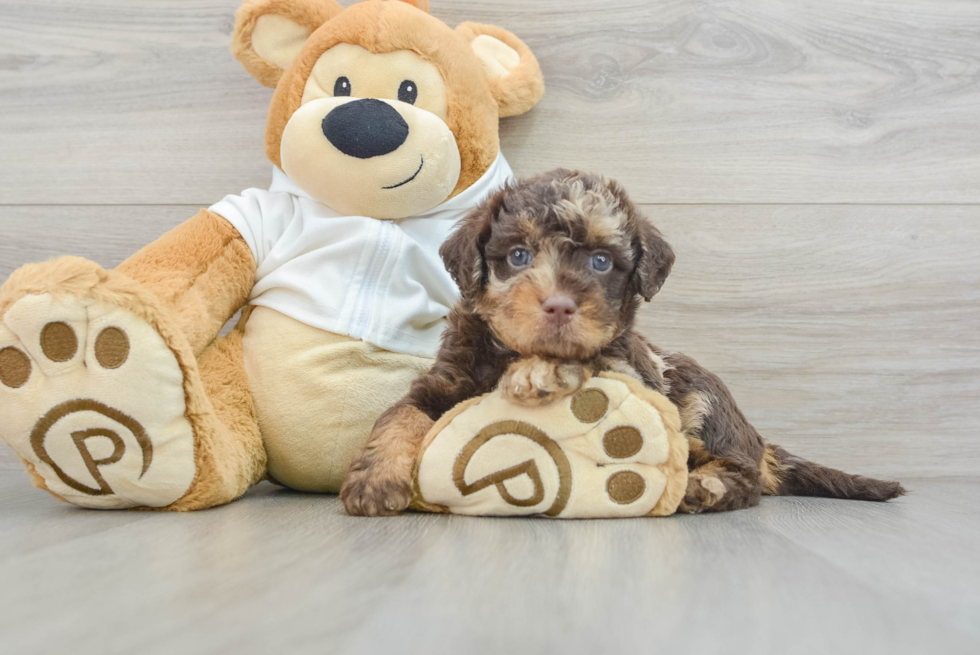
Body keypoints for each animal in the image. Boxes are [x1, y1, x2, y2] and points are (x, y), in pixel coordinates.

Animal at [340, 169, 908, 516]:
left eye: (600, 262)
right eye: (519, 255)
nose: (559, 306)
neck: (507, 350)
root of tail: (757, 439)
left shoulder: (636, 373)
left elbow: (593, 360)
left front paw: (539, 370)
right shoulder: (443, 380)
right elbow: (399, 415)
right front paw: (375, 479)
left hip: (702, 401)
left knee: (743, 475)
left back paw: (706, 486)